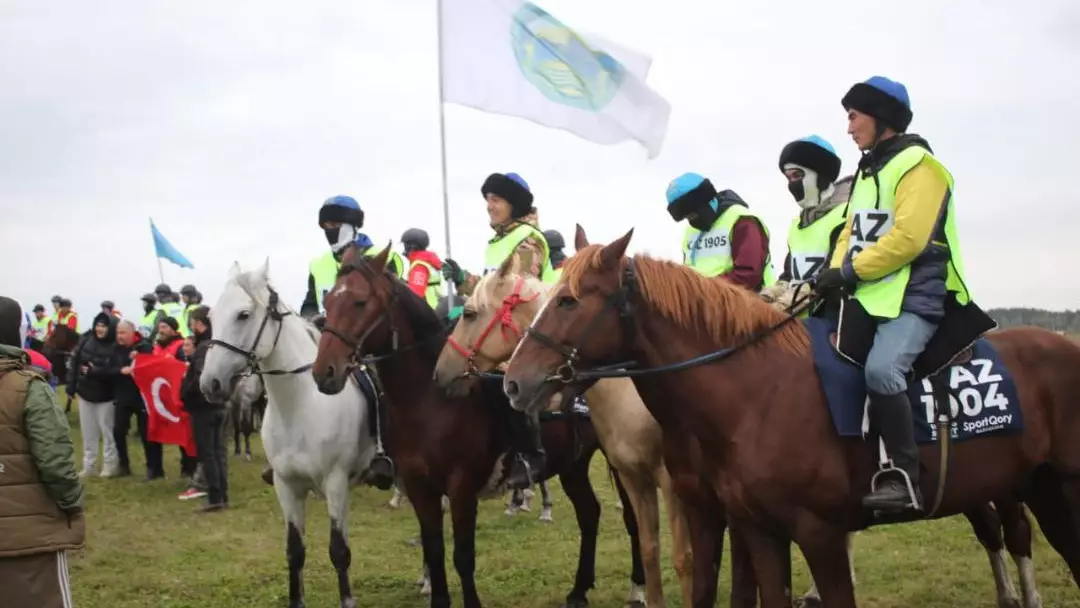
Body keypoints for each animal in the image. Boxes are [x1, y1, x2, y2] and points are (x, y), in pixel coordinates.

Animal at [203, 261, 375, 608]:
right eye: (212, 317)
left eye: (243, 314)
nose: (209, 383)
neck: (300, 406)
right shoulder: (287, 486)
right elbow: (295, 552)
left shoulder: (335, 483)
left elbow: (339, 551)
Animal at [308, 246, 643, 608]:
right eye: (329, 304)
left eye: (360, 302)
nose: (324, 372)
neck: (430, 402)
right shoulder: (420, 488)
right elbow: (435, 551)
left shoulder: (462, 488)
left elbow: (463, 557)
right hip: (573, 464)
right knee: (589, 513)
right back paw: (579, 590)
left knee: (632, 519)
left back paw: (637, 588)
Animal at [505, 230, 1080, 608]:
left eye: (568, 301)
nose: (513, 381)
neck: (756, 395)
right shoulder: (755, 529)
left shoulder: (818, 534)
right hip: (1037, 487)